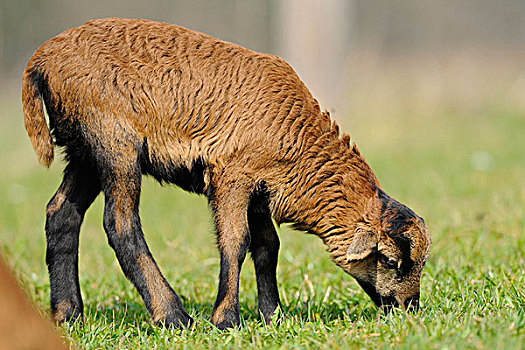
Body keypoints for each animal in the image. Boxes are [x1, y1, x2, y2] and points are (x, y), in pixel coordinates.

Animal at [21, 17, 430, 330]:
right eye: (391, 261)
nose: (409, 309)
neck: (298, 140)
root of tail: (41, 59)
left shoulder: (261, 186)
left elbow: (267, 247)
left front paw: (272, 315)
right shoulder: (231, 175)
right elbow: (236, 242)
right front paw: (226, 319)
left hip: (84, 150)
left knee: (61, 213)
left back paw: (67, 314)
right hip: (113, 141)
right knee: (120, 224)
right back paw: (172, 315)